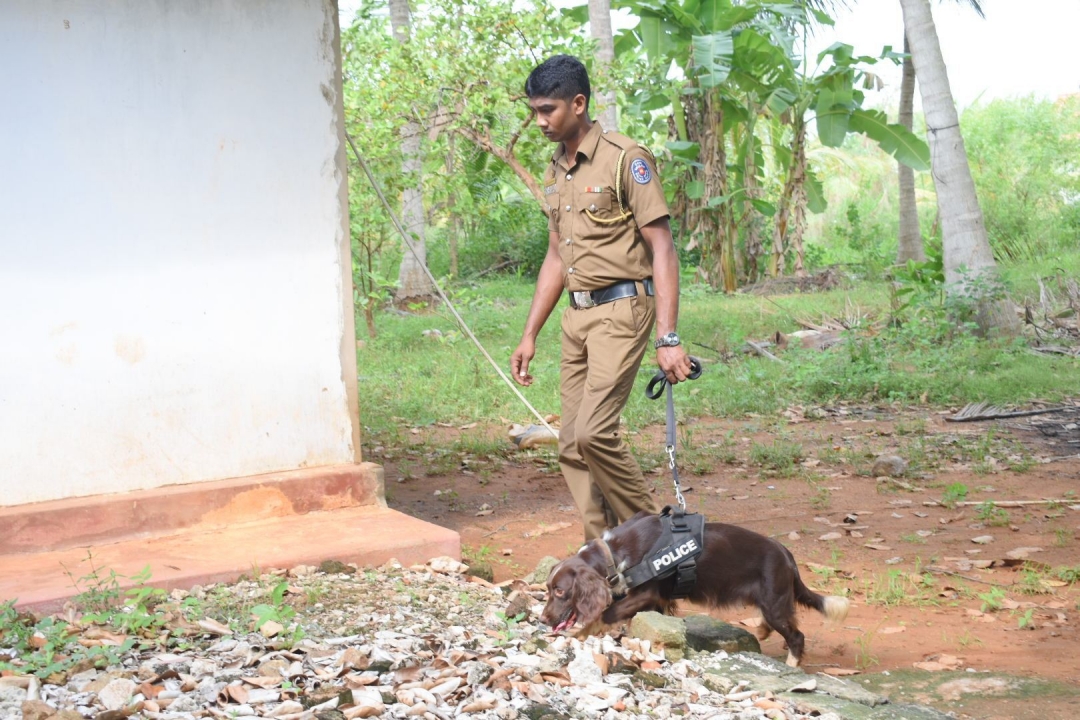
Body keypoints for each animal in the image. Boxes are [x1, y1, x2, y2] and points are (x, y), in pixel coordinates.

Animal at [544, 509, 846, 669]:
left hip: (774, 601)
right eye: (548, 588)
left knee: (796, 636)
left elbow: (607, 612)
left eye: (560, 591)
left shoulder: (649, 593)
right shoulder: (657, 600)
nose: (543, 618)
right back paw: (761, 629)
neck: (614, 553)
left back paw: (790, 664)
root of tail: (786, 554)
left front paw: (582, 632)